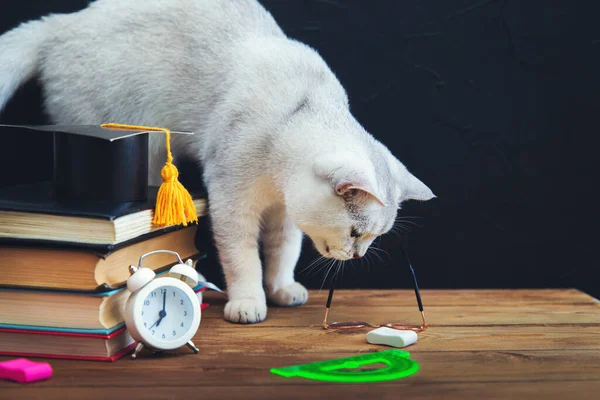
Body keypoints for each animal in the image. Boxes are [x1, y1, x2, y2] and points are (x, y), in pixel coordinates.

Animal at [2, 0, 438, 322]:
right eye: (355, 233)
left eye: (374, 237)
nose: (359, 255)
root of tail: (67, 21)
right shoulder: (232, 201)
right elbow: (243, 259)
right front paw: (248, 302)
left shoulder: (284, 212)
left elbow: (282, 252)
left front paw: (281, 289)